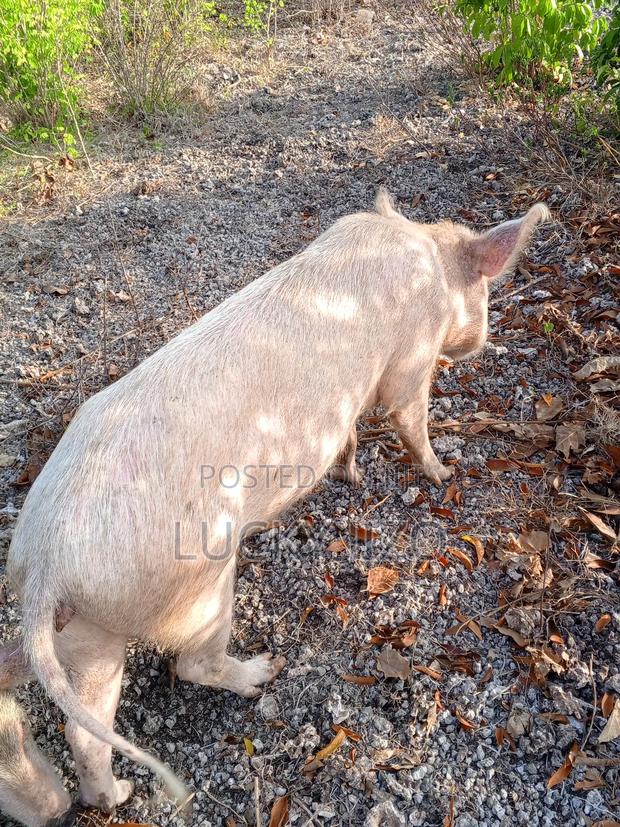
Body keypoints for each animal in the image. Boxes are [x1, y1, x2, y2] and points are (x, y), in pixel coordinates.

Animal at [7, 190, 549, 811]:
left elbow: (353, 432)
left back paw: (116, 794)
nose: (482, 341)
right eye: (485, 289)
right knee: (191, 663)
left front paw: (352, 471)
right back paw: (265, 671)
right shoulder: (412, 358)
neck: (427, 252)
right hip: (198, 580)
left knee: (85, 728)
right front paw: (442, 472)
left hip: (88, 635)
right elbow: (409, 415)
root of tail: (44, 566)